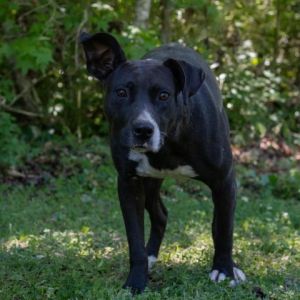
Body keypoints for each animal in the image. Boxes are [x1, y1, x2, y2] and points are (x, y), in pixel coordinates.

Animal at [80, 32, 246, 292]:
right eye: (121, 92)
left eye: (164, 95)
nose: (143, 130)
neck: (170, 142)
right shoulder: (129, 184)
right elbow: (134, 239)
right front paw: (136, 280)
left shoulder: (224, 181)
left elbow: (225, 229)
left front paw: (224, 270)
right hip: (149, 185)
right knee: (160, 215)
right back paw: (151, 255)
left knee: (216, 221)